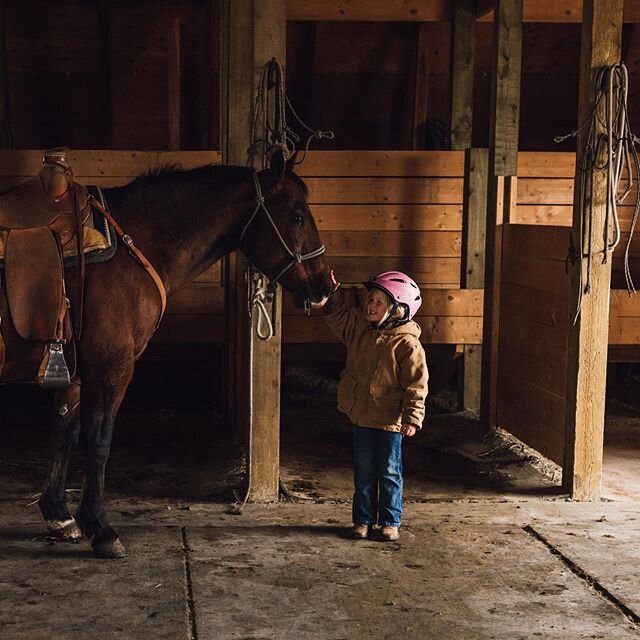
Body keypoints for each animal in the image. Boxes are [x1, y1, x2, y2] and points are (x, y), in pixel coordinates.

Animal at [3, 152, 336, 556]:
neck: (127, 250)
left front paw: (59, 516)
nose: (325, 287)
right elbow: (99, 442)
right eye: (298, 216)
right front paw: (101, 528)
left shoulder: (77, 372)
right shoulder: (112, 368)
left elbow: (64, 433)